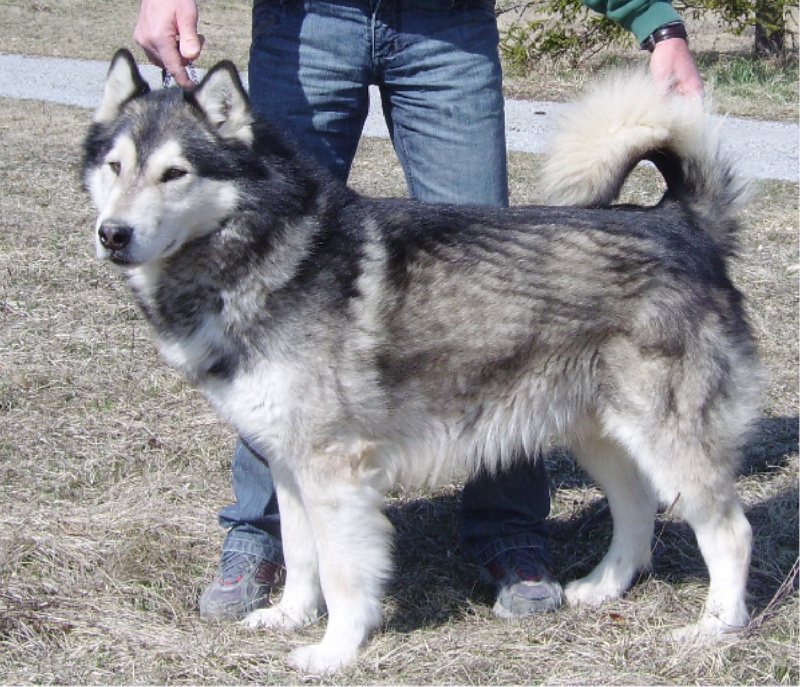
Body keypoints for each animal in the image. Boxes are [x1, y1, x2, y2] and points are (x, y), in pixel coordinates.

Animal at [86, 51, 764, 676]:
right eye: (115, 167)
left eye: (175, 173)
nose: (112, 234)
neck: (267, 252)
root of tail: (681, 223)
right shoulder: (287, 464)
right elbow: (301, 555)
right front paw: (288, 615)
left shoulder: (334, 472)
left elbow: (341, 574)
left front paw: (335, 650)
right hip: (601, 433)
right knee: (637, 508)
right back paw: (603, 588)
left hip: (667, 438)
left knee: (729, 531)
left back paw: (715, 626)